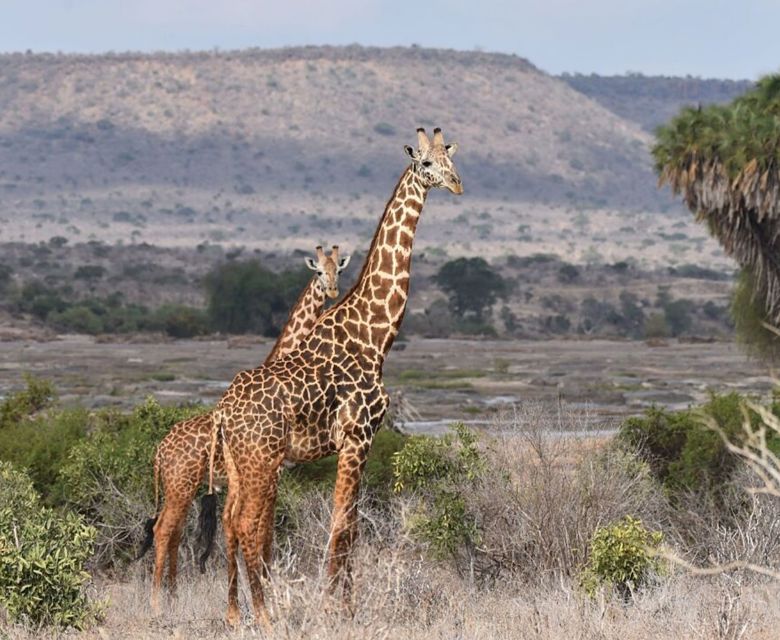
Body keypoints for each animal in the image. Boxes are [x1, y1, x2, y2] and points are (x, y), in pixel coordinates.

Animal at [138, 245, 350, 612]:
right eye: (319, 272)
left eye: (339, 268)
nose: (333, 291)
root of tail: (159, 451)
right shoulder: (273, 473)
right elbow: (264, 532)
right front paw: (266, 591)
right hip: (180, 485)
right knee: (164, 530)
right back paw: (156, 605)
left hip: (181, 487)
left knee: (173, 532)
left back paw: (174, 596)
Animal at [209, 128, 461, 627]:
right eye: (424, 163)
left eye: (449, 157)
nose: (457, 184)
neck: (375, 333)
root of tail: (224, 414)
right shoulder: (358, 434)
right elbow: (344, 522)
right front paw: (336, 608)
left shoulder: (356, 440)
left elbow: (352, 524)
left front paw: (343, 604)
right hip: (262, 460)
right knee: (247, 523)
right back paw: (264, 614)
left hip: (242, 463)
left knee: (234, 522)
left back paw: (234, 613)